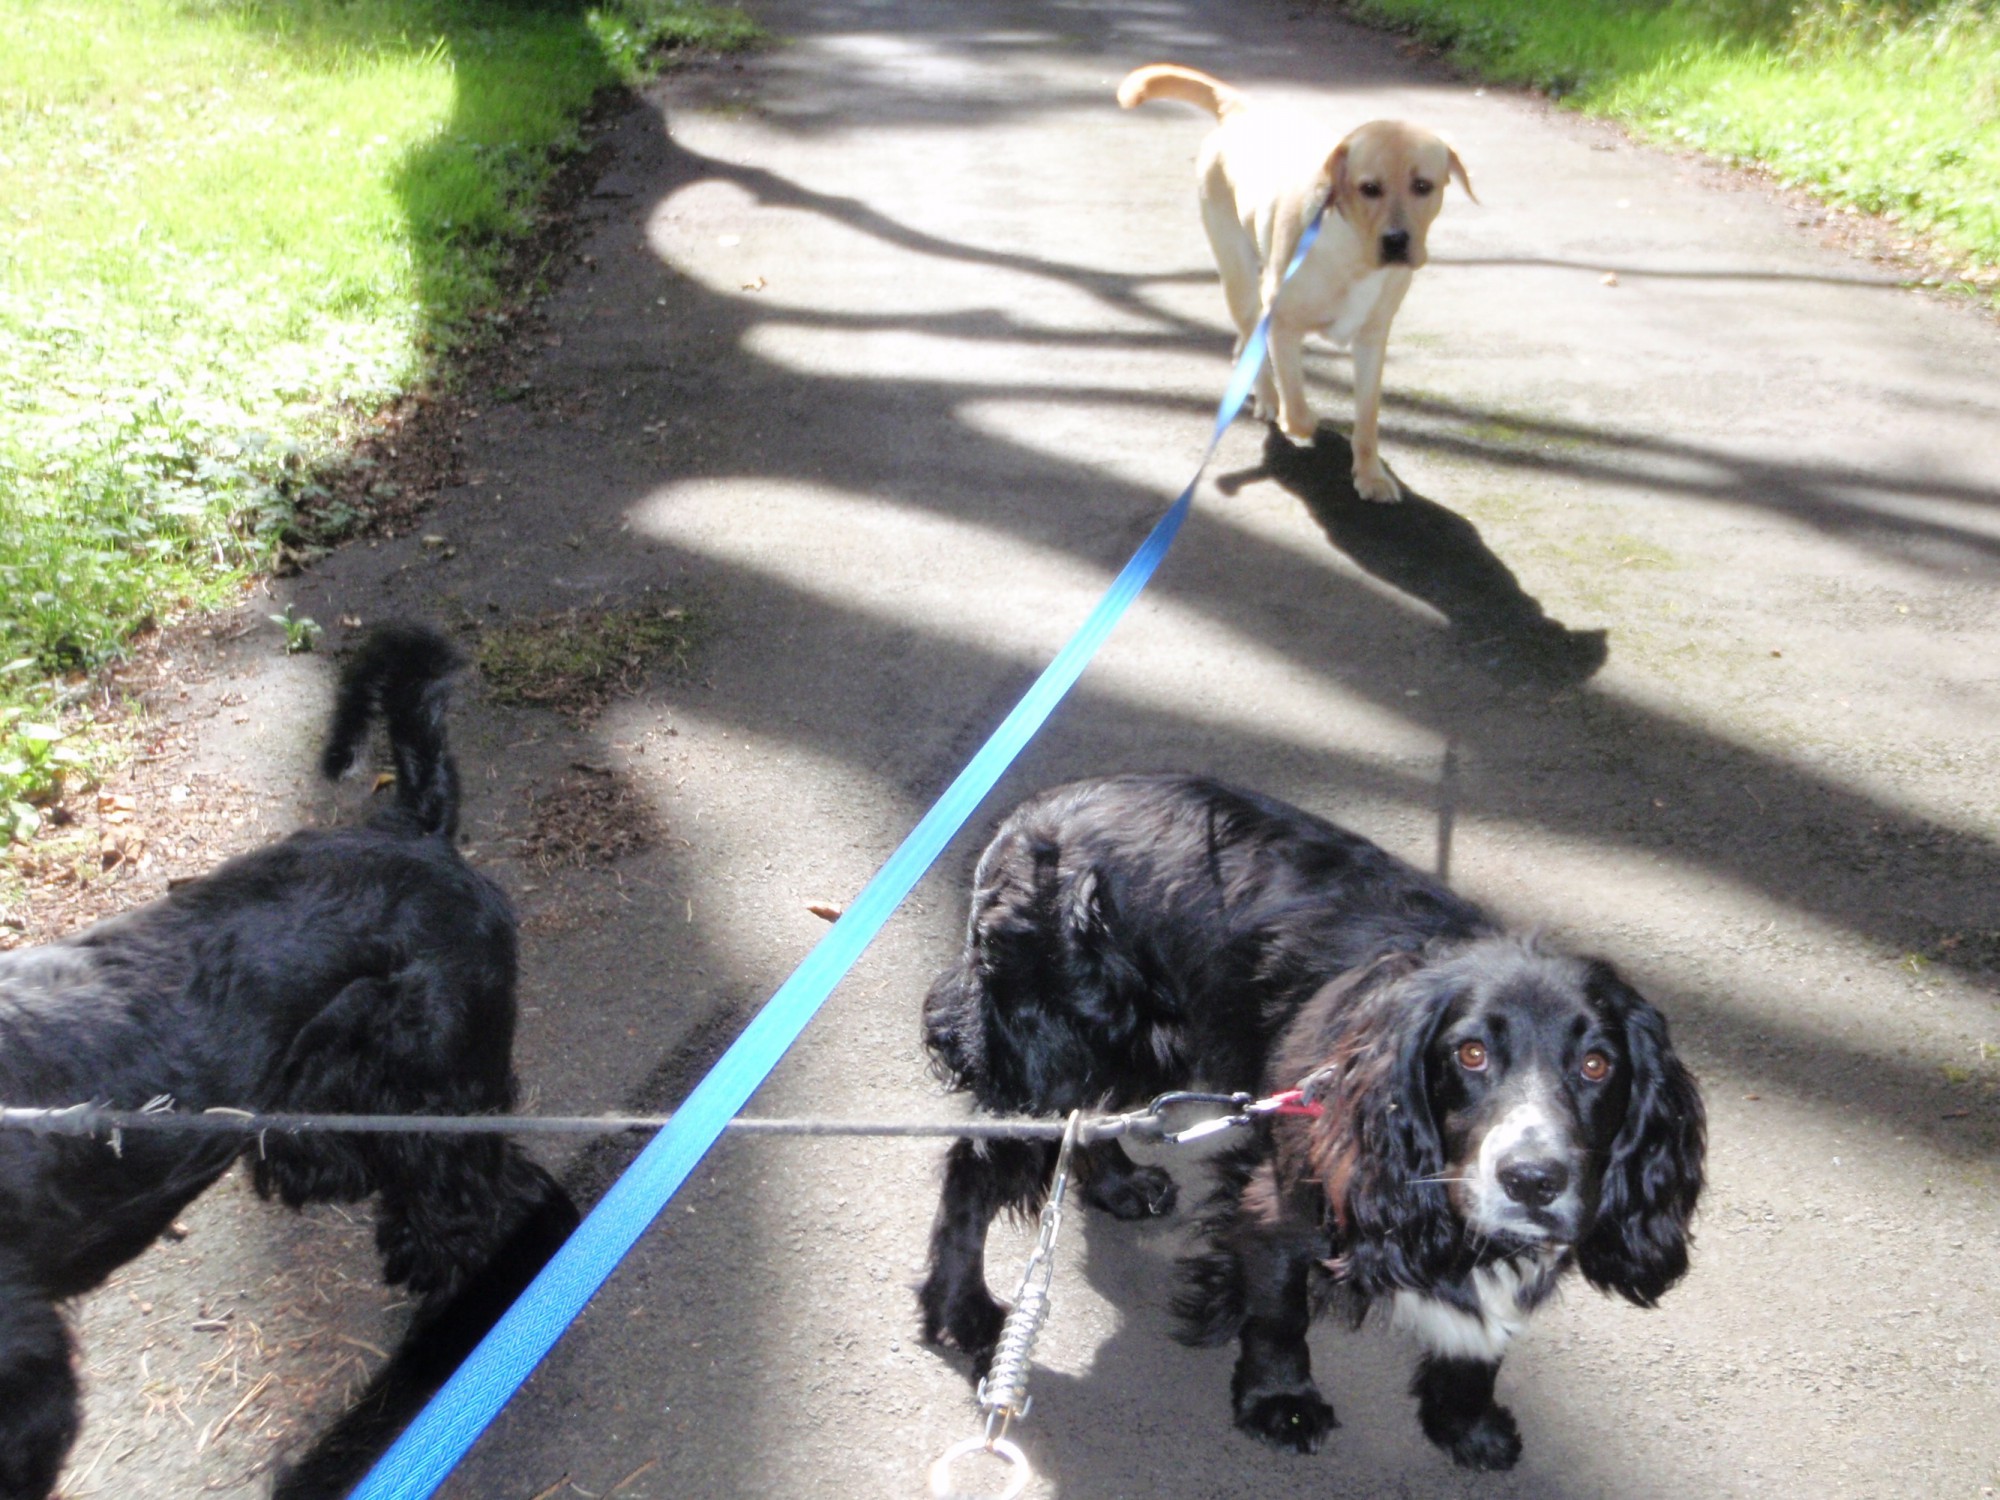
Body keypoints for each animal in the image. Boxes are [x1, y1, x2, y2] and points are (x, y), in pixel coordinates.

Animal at [918, 773, 1703, 1470]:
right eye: (1472, 1053)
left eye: (1597, 1066)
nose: (1533, 1180)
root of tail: (1028, 817)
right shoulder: (1284, 1197)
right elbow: (1280, 1314)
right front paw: (1281, 1402)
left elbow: (1483, 1342)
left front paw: (1466, 1424)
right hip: (1057, 1049)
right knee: (977, 1166)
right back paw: (965, 1311)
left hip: (1149, 1036)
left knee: (1093, 1122)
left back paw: (1121, 1187)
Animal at [1119, 64, 1472, 502]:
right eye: (1369, 188)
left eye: (1423, 186)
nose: (1396, 241)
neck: (1352, 252)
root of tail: (1243, 108)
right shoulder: (1283, 325)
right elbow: (1299, 408)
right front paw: (1299, 420)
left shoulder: (1372, 339)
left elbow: (1368, 418)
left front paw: (1370, 474)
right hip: (1238, 275)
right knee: (1252, 335)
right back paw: (1268, 397)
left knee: (1248, 340)